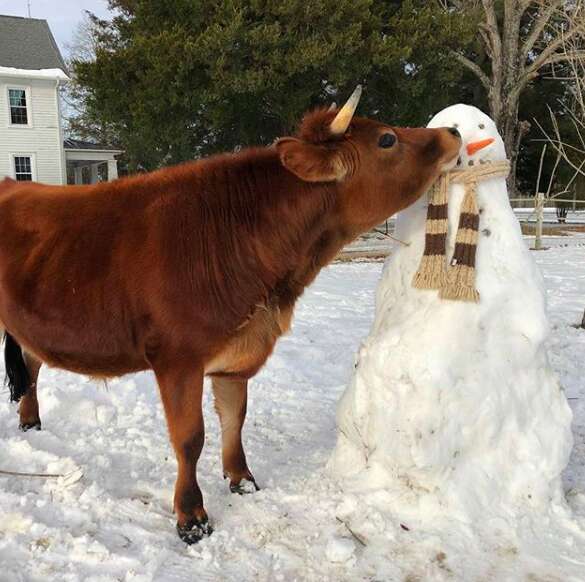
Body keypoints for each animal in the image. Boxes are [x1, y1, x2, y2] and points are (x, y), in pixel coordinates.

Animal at [0, 89, 458, 544]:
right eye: (387, 139)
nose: (452, 132)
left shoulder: (239, 354)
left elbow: (234, 418)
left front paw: (242, 479)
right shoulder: (177, 359)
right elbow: (190, 438)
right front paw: (192, 516)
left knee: (31, 362)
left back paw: (31, 421)